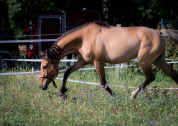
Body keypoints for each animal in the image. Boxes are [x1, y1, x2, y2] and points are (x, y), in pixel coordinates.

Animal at [38, 21, 178, 100]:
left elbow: (103, 83)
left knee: (150, 77)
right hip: (159, 61)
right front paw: (63, 94)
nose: (41, 86)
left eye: (45, 66)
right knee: (174, 76)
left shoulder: (98, 63)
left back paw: (133, 95)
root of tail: (158, 32)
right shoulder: (82, 62)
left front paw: (116, 97)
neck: (84, 38)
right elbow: (67, 72)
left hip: (144, 61)